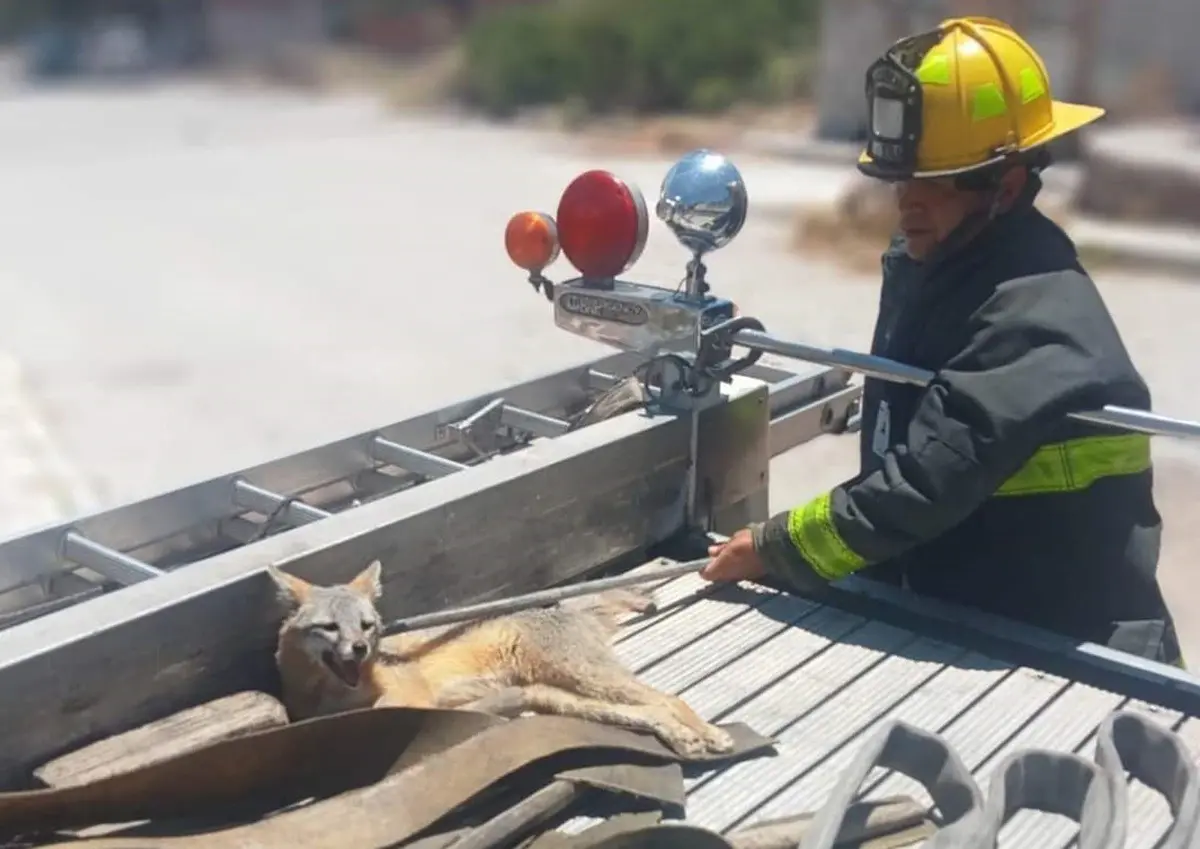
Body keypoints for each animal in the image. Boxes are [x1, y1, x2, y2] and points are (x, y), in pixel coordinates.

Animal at [268, 563, 734, 757]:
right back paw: (683, 738)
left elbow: (391, 709)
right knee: (651, 711)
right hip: (565, 697)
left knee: (668, 699)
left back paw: (709, 733)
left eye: (366, 626)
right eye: (330, 628)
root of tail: (561, 608)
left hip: (586, 679)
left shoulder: (408, 691)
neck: (335, 694)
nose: (361, 650)